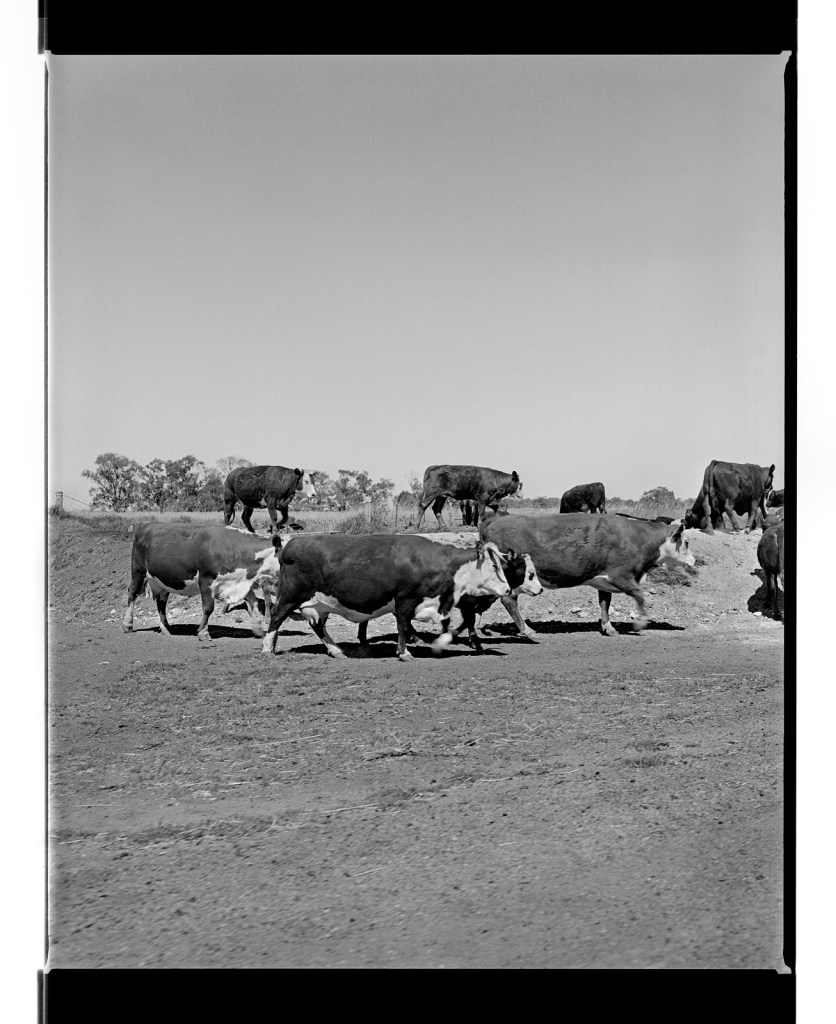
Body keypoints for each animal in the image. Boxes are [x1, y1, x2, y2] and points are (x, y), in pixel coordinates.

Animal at [122, 523, 283, 640]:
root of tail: (145, 527)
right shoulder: (206, 580)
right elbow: (208, 607)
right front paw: (203, 632)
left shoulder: (238, 583)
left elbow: (253, 602)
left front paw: (259, 628)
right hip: (138, 573)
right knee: (132, 594)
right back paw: (127, 624)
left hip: (162, 582)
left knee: (161, 603)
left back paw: (166, 628)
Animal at [261, 534, 511, 661]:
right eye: (495, 565)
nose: (508, 590)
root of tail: (290, 545)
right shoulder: (405, 600)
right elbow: (403, 626)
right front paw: (405, 653)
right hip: (291, 596)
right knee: (276, 616)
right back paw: (266, 649)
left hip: (317, 604)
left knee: (318, 626)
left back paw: (336, 651)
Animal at [480, 512, 695, 637]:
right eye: (686, 542)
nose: (693, 560)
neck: (638, 538)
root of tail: (493, 519)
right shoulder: (622, 576)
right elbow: (640, 596)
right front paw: (640, 623)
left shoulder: (604, 581)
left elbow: (605, 604)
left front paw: (608, 627)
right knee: (509, 600)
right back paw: (526, 629)